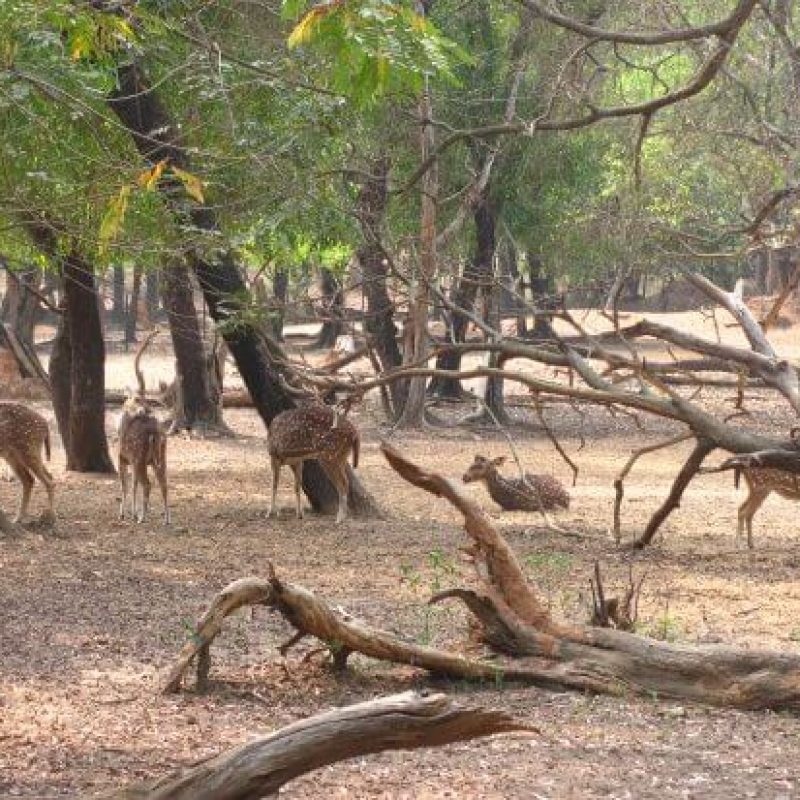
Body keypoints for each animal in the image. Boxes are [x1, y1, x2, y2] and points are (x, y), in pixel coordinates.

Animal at [117, 395, 170, 524]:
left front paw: (122, 515)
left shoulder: (122, 458)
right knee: (163, 485)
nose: (146, 410)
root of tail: (153, 433)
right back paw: (165, 520)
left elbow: (124, 486)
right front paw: (130, 514)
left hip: (138, 459)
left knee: (144, 484)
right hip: (160, 457)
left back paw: (139, 517)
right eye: (137, 399)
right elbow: (131, 485)